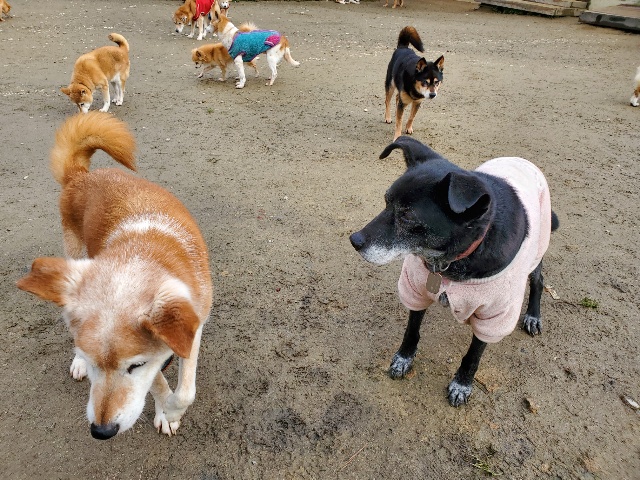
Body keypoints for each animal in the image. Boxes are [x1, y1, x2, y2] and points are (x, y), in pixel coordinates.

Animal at [17, 112, 213, 439]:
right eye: (96, 363)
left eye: (135, 366)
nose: (101, 431)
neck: (142, 253)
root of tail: (81, 176)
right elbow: (159, 385)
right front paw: (166, 409)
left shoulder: (192, 326)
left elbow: (185, 391)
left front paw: (172, 411)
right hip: (74, 257)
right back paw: (77, 363)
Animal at [350, 136, 558, 407]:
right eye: (386, 201)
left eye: (407, 216)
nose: (354, 240)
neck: (450, 262)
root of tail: (521, 159)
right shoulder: (416, 289)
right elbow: (411, 331)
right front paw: (403, 358)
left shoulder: (494, 316)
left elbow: (473, 356)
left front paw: (462, 384)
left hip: (536, 252)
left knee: (538, 281)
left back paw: (533, 315)